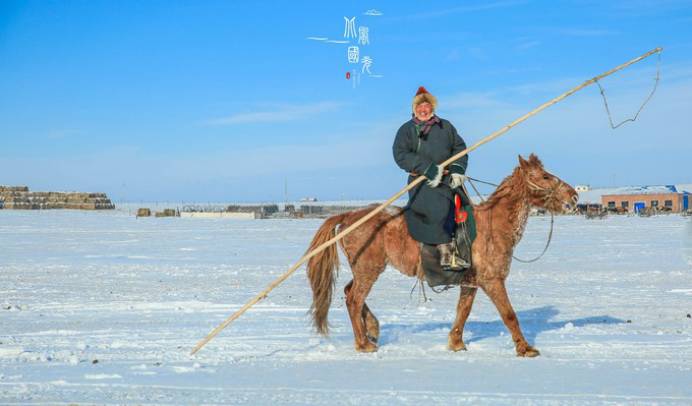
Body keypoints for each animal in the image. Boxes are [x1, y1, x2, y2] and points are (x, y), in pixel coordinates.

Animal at [306, 154, 580, 356]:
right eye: (544, 176)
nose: (574, 196)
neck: (494, 224)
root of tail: (348, 216)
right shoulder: (493, 281)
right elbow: (509, 314)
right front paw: (525, 348)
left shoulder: (471, 283)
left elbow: (463, 312)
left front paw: (456, 343)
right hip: (368, 269)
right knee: (354, 299)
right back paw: (364, 344)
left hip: (365, 269)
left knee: (349, 292)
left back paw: (372, 329)